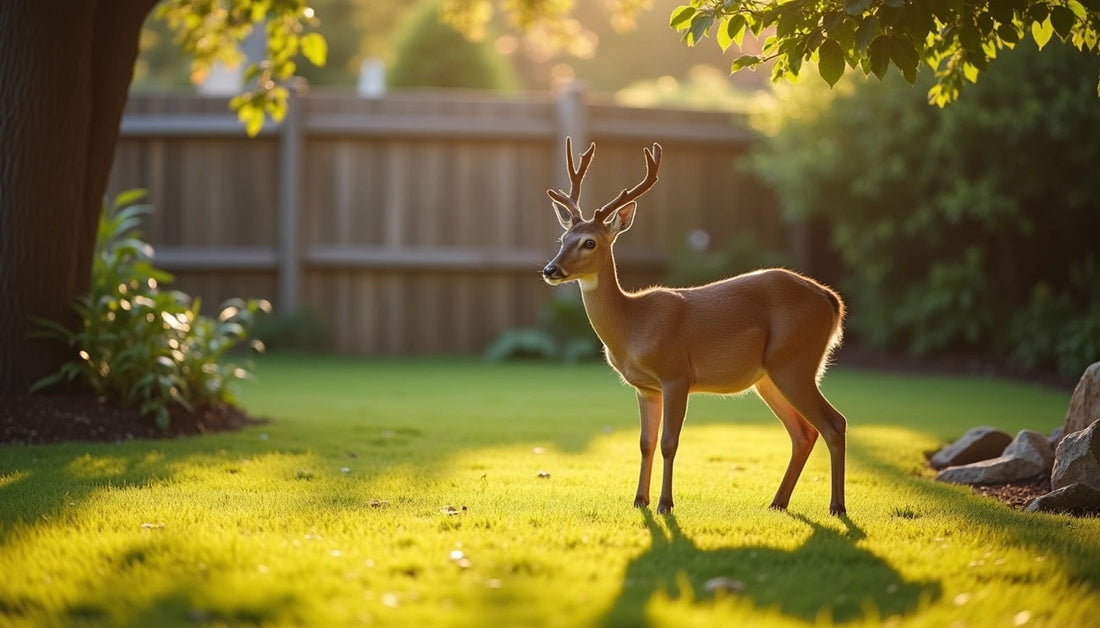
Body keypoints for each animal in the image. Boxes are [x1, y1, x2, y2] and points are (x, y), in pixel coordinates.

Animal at [541, 138, 849, 516]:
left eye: (589, 242)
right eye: (563, 238)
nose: (551, 270)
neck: (633, 326)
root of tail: (830, 299)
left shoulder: (676, 374)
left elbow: (669, 443)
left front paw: (665, 504)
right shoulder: (645, 388)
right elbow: (645, 442)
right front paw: (639, 500)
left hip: (795, 360)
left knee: (834, 423)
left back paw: (837, 507)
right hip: (770, 375)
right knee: (803, 431)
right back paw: (777, 503)